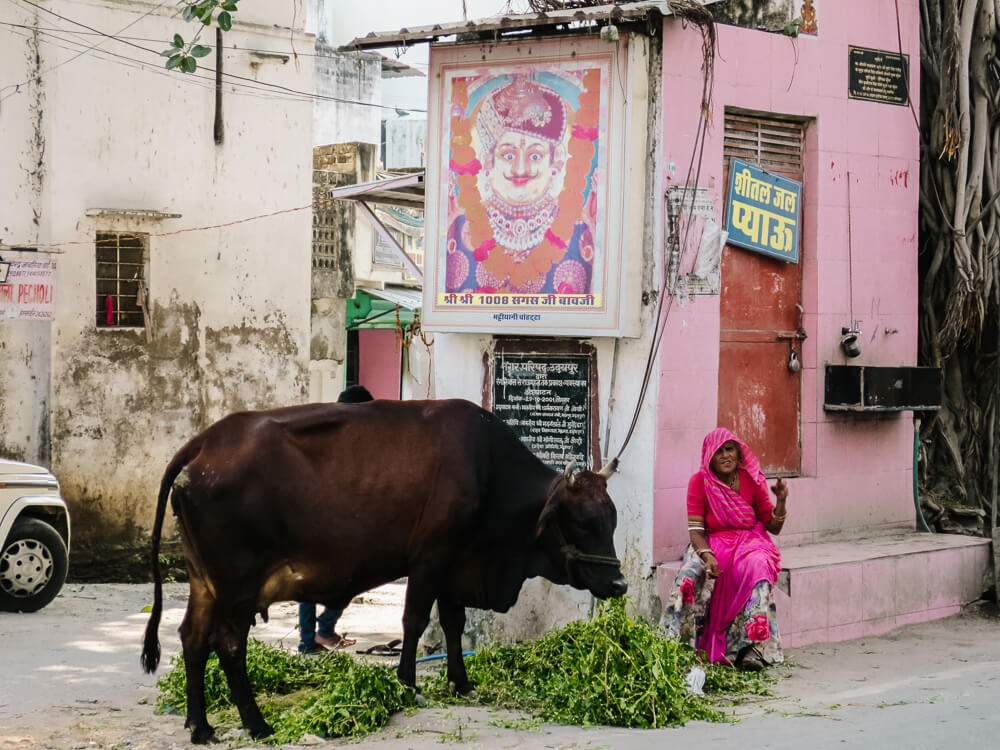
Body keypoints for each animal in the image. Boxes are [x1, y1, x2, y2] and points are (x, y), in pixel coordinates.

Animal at [141, 400, 624, 748]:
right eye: (584, 522)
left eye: (612, 520)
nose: (618, 584)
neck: (490, 472)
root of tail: (204, 443)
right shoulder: (431, 558)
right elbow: (415, 621)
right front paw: (407, 682)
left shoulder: (454, 565)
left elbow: (453, 623)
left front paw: (460, 682)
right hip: (237, 585)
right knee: (228, 645)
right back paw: (256, 723)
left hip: (204, 582)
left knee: (192, 639)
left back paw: (201, 726)